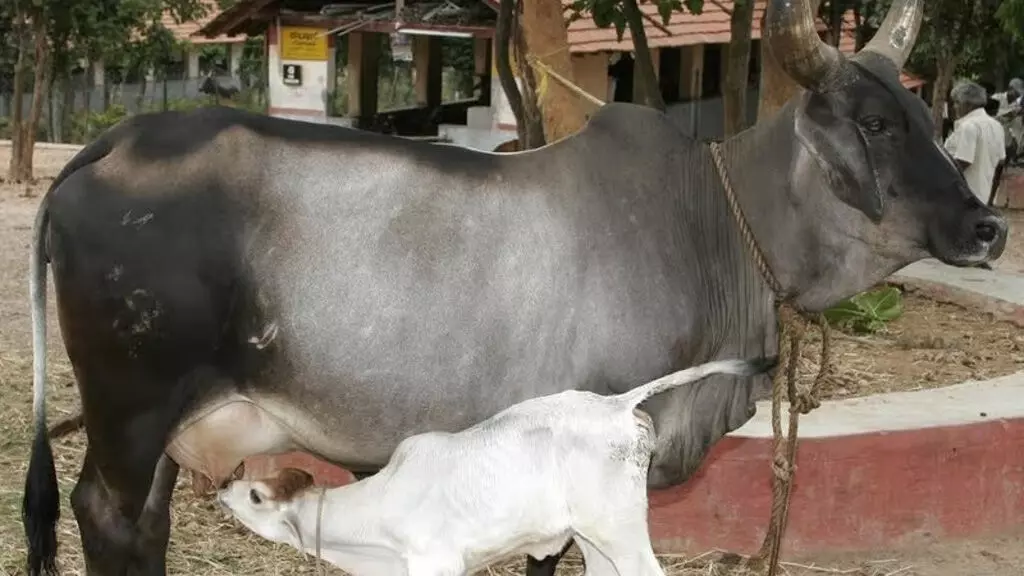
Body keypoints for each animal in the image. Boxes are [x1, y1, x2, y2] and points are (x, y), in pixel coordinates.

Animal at [220, 356, 765, 569]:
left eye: (256, 495)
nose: (224, 486)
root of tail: (615, 404)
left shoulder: (437, 564)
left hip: (620, 529)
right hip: (593, 536)